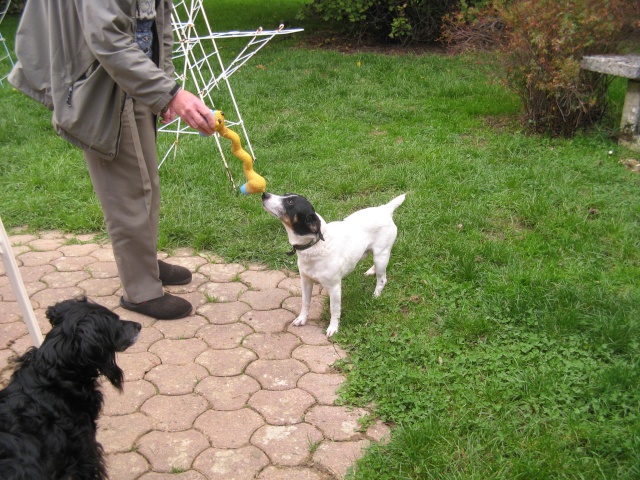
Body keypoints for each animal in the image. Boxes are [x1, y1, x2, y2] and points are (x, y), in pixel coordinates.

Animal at [264, 193, 404, 336]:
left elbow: (334, 310)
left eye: (290, 202)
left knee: (382, 279)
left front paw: (333, 328)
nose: (265, 194)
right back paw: (371, 271)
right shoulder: (305, 281)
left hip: (381, 256)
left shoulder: (335, 288)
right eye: (285, 195)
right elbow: (305, 302)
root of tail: (385, 209)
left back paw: (375, 295)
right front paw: (302, 319)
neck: (315, 245)